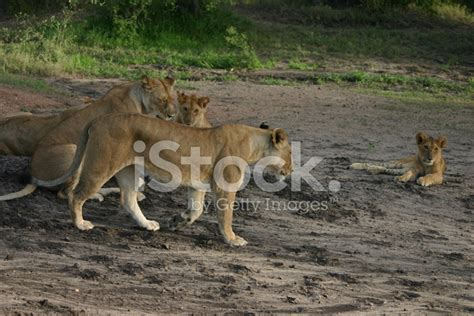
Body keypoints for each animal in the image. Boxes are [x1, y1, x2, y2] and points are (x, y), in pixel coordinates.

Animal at [0, 76, 177, 200]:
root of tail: (33, 171)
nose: (172, 115)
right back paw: (96, 196)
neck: (141, 104)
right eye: (162, 100)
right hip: (74, 151)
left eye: (172, 100)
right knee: (66, 193)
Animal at [34, 113, 292, 247]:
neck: (254, 143)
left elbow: (196, 210)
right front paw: (232, 239)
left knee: (128, 200)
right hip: (101, 165)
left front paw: (177, 222)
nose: (291, 170)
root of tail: (99, 119)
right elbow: (225, 216)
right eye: (290, 153)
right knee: (76, 194)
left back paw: (147, 224)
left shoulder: (197, 184)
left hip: (129, 170)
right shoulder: (225, 186)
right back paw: (80, 224)